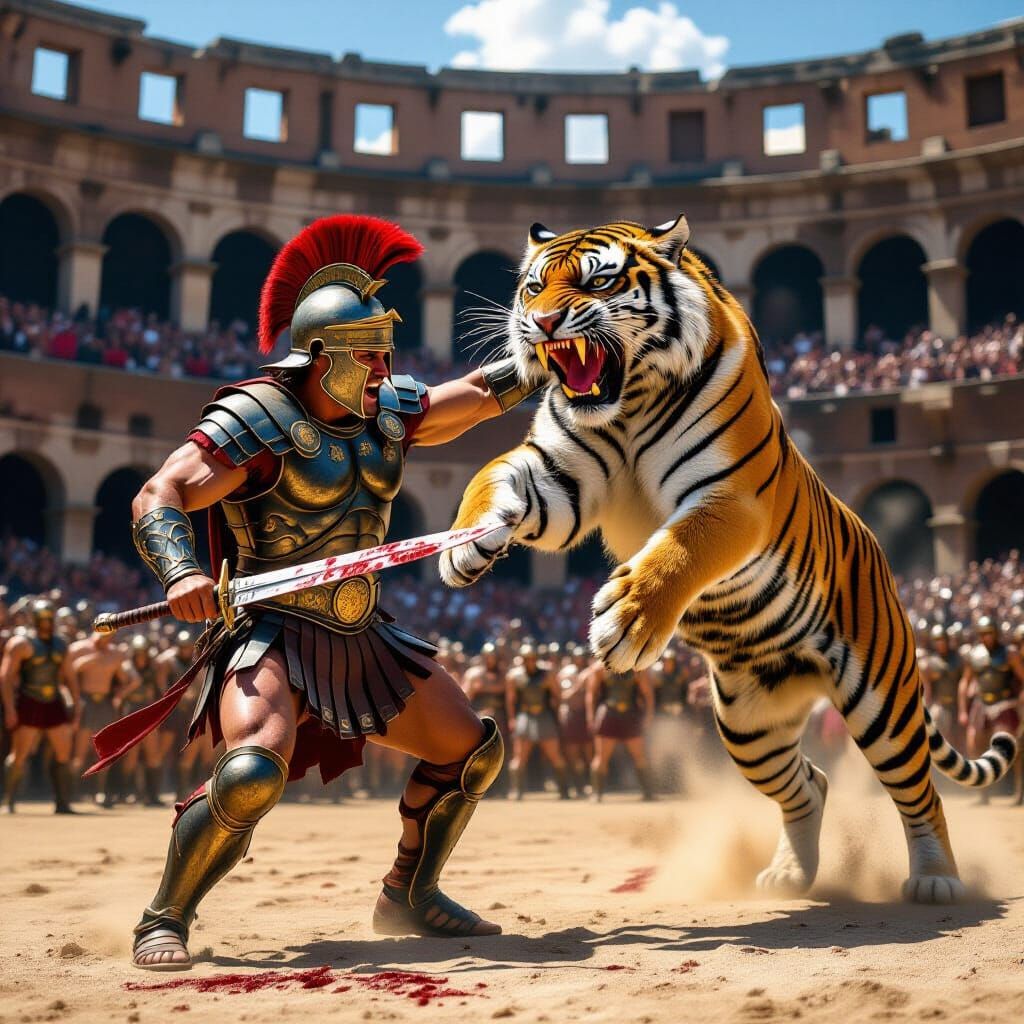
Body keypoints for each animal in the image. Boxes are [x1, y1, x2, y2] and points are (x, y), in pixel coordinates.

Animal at [440, 215, 1017, 905]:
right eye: (532, 287)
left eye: (597, 281)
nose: (543, 322)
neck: (627, 402)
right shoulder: (559, 478)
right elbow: (489, 479)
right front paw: (464, 542)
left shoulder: (730, 497)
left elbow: (683, 546)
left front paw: (628, 618)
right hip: (749, 725)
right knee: (810, 784)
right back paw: (790, 876)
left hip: (883, 700)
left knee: (919, 791)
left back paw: (936, 879)